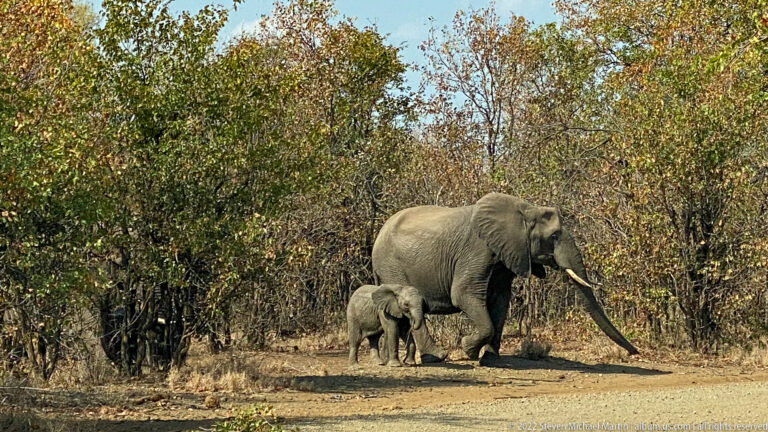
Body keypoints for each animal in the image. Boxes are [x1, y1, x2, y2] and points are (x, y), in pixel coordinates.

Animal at [371, 192, 638, 365]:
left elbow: (500, 301)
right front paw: (468, 350)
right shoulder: (477, 249)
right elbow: (464, 295)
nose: (635, 353)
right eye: (554, 236)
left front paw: (491, 360)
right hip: (391, 265)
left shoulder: (505, 257)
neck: (524, 210)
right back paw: (438, 358)